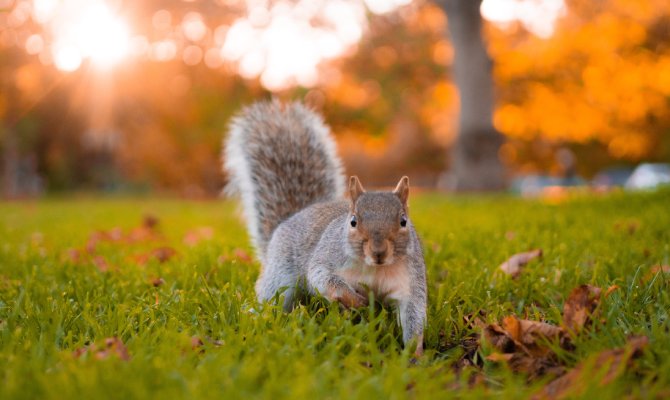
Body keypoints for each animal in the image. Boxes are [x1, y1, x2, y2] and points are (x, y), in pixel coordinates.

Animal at [223, 101, 427, 355]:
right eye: (353, 221)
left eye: (403, 221)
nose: (379, 252)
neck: (375, 269)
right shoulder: (328, 257)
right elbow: (322, 277)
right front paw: (354, 299)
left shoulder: (410, 280)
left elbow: (414, 314)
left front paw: (414, 355)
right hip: (281, 274)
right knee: (273, 297)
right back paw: (257, 316)